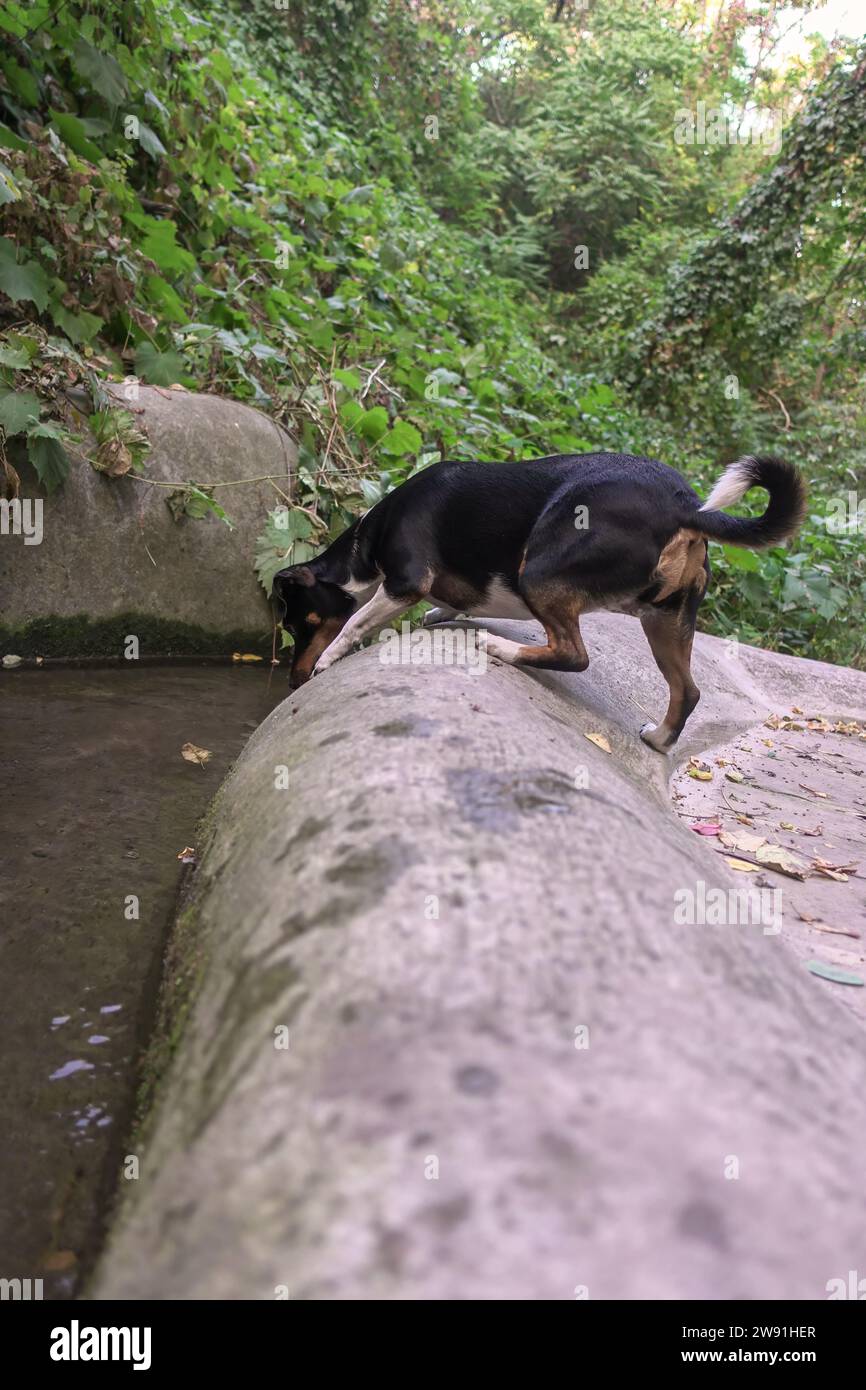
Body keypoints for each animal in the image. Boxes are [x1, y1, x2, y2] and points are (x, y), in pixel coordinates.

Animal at [271, 453, 806, 756]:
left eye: (300, 625)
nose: (292, 682)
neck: (368, 539)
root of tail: (684, 506)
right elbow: (452, 603)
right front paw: (444, 613)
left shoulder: (405, 582)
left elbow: (354, 622)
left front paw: (326, 660)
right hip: (665, 622)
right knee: (688, 691)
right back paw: (659, 739)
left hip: (541, 570)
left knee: (574, 653)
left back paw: (501, 650)